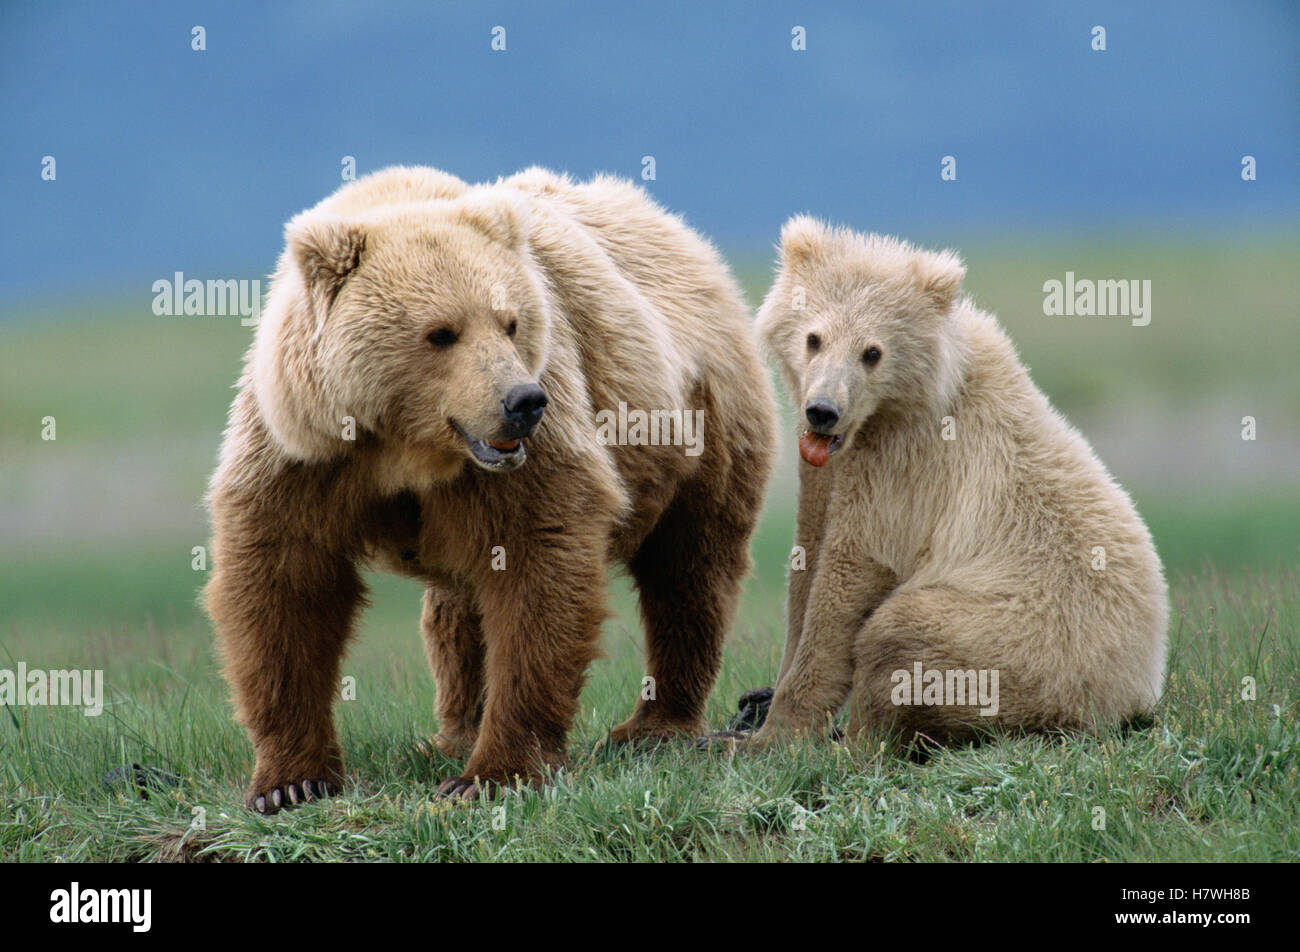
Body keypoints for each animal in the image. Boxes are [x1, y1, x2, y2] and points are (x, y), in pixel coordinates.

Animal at [205, 166, 775, 810]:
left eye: (510, 322)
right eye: (440, 333)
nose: (522, 401)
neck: (408, 450)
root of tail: (683, 235)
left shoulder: (535, 448)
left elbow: (537, 571)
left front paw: (491, 774)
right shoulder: (304, 449)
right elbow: (284, 586)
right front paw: (291, 782)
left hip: (701, 420)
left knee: (688, 571)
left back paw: (654, 725)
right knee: (455, 613)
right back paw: (453, 732)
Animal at [746, 218, 1167, 748]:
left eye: (872, 352)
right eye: (813, 338)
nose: (823, 410)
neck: (880, 419)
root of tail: (1139, 684)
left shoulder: (906, 467)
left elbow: (850, 571)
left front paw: (777, 730)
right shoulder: (828, 470)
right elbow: (806, 562)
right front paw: (765, 702)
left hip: (1021, 641)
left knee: (898, 637)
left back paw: (855, 738)